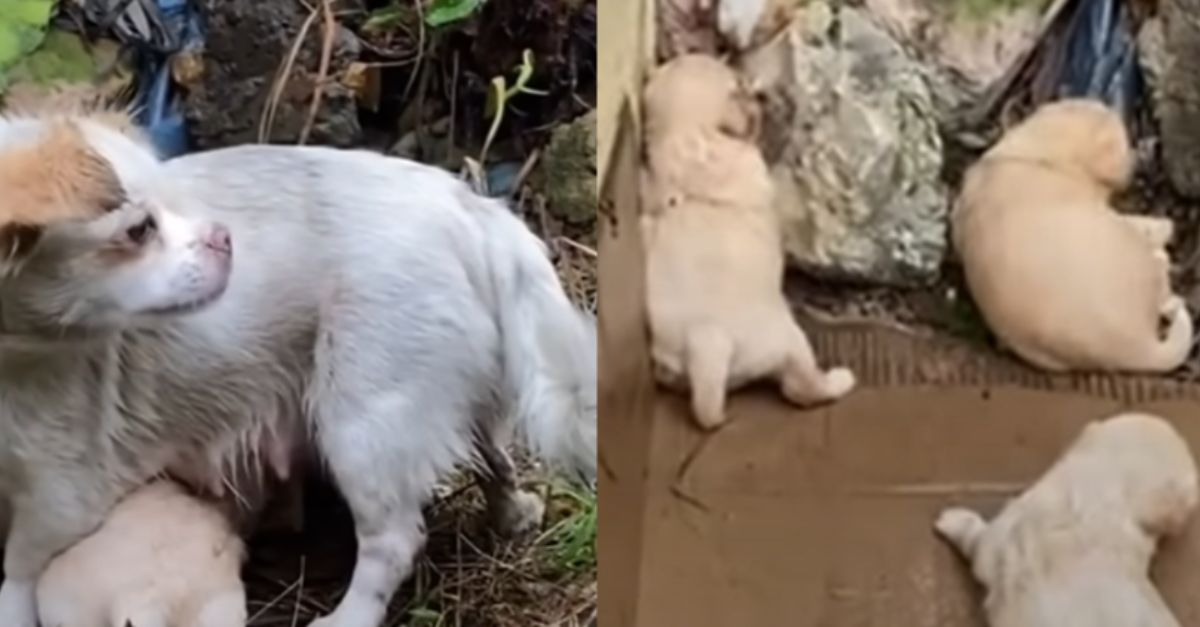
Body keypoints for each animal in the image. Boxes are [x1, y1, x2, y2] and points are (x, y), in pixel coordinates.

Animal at [0, 97, 597, 624]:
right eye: (139, 229)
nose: (223, 237)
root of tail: (471, 207)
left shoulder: (61, 497)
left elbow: (16, 578)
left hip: (364, 420)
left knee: (394, 540)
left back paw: (347, 618)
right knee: (495, 457)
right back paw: (514, 514)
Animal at [643, 53, 859, 427]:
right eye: (737, 84)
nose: (757, 98)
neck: (691, 141)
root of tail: (709, 337)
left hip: (671, 361)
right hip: (790, 342)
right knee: (802, 389)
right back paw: (839, 380)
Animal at [945, 99, 1190, 369]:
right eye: (1125, 142)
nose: (1138, 161)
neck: (1045, 156)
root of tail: (1138, 350)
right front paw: (1162, 227)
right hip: (1132, 254)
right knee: (1161, 273)